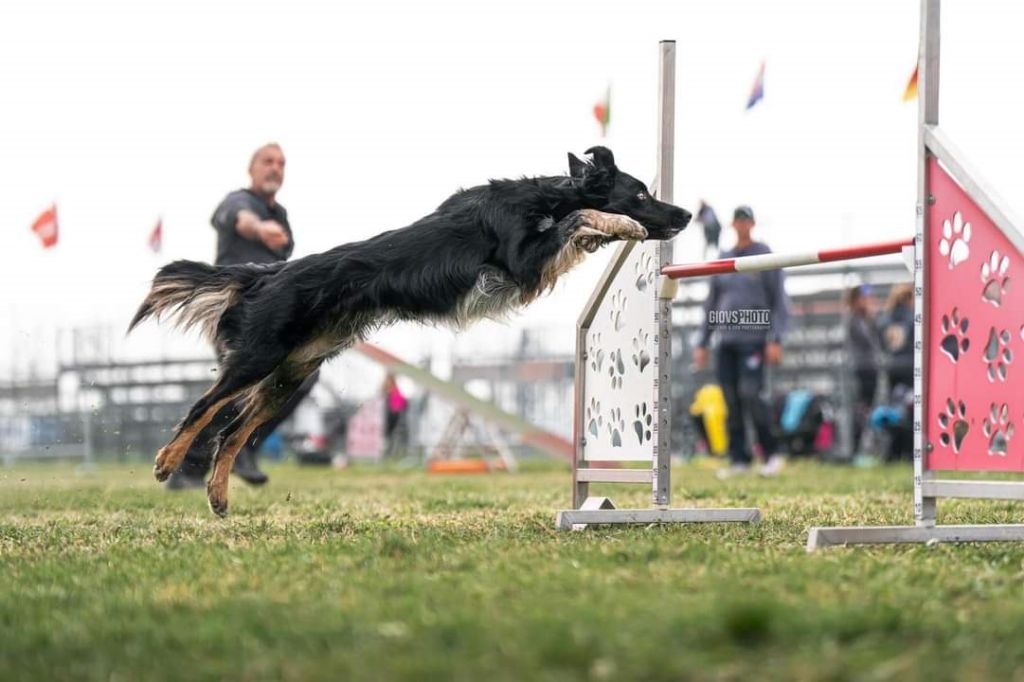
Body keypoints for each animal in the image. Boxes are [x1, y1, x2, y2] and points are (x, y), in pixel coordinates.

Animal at [128, 146, 688, 512]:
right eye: (640, 194)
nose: (683, 213)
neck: (547, 197)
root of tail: (265, 275)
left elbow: (579, 222)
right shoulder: (520, 260)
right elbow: (581, 217)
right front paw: (622, 225)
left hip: (291, 375)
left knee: (229, 433)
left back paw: (219, 496)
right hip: (260, 357)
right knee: (204, 408)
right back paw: (166, 463)